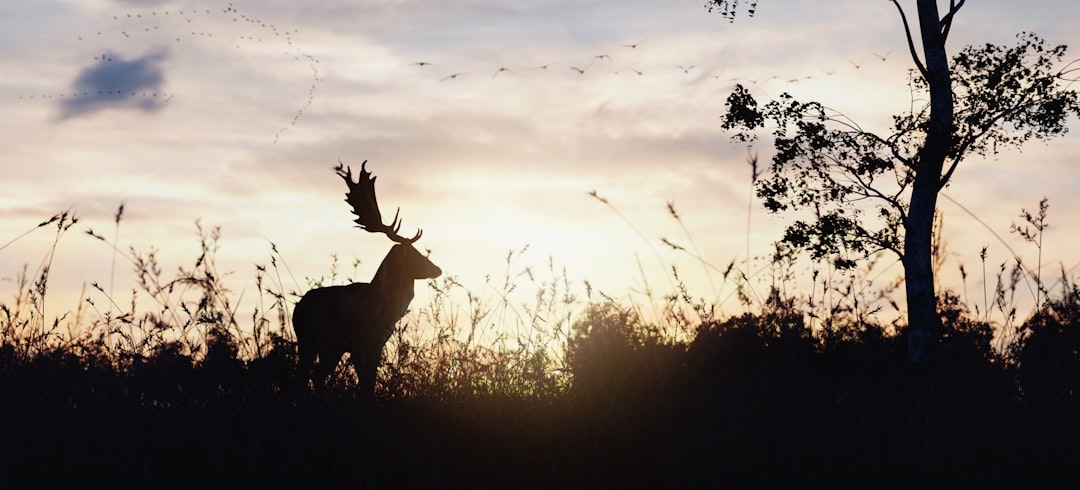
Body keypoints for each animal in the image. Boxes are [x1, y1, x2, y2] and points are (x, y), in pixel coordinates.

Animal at [291, 160, 442, 397]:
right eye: (415, 254)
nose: (437, 269)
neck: (387, 310)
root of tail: (298, 310)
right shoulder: (366, 341)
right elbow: (367, 381)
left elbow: (367, 381)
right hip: (323, 341)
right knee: (313, 375)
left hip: (313, 344)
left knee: (305, 376)